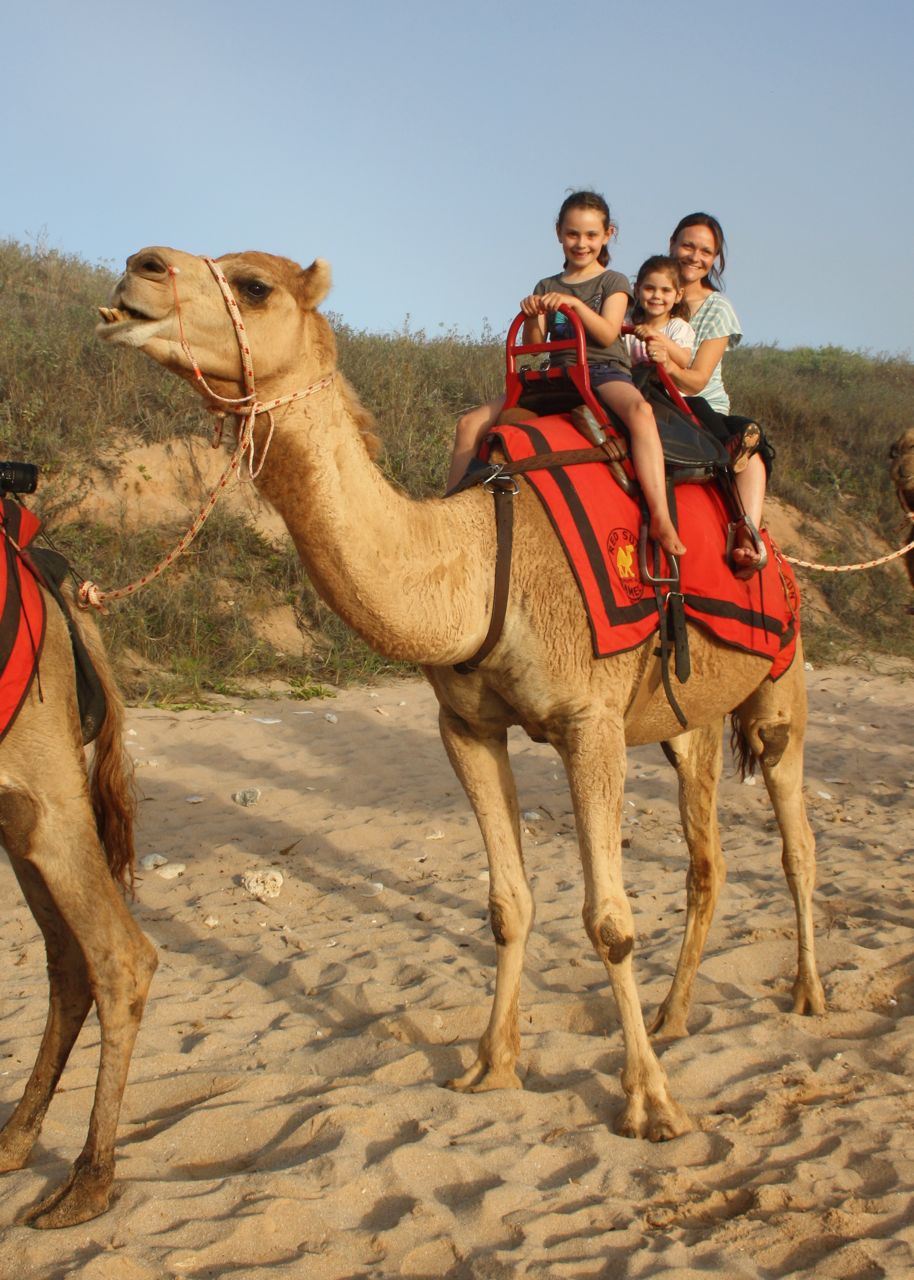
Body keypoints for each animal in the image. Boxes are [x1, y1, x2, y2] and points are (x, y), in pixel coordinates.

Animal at [97, 247, 824, 1139]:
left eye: (255, 285)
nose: (138, 269)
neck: (481, 564)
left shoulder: (589, 722)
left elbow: (610, 922)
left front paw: (651, 1104)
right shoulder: (467, 726)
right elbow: (509, 903)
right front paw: (491, 1066)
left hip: (781, 686)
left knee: (796, 843)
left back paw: (808, 993)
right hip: (687, 722)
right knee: (706, 859)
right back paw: (674, 1015)